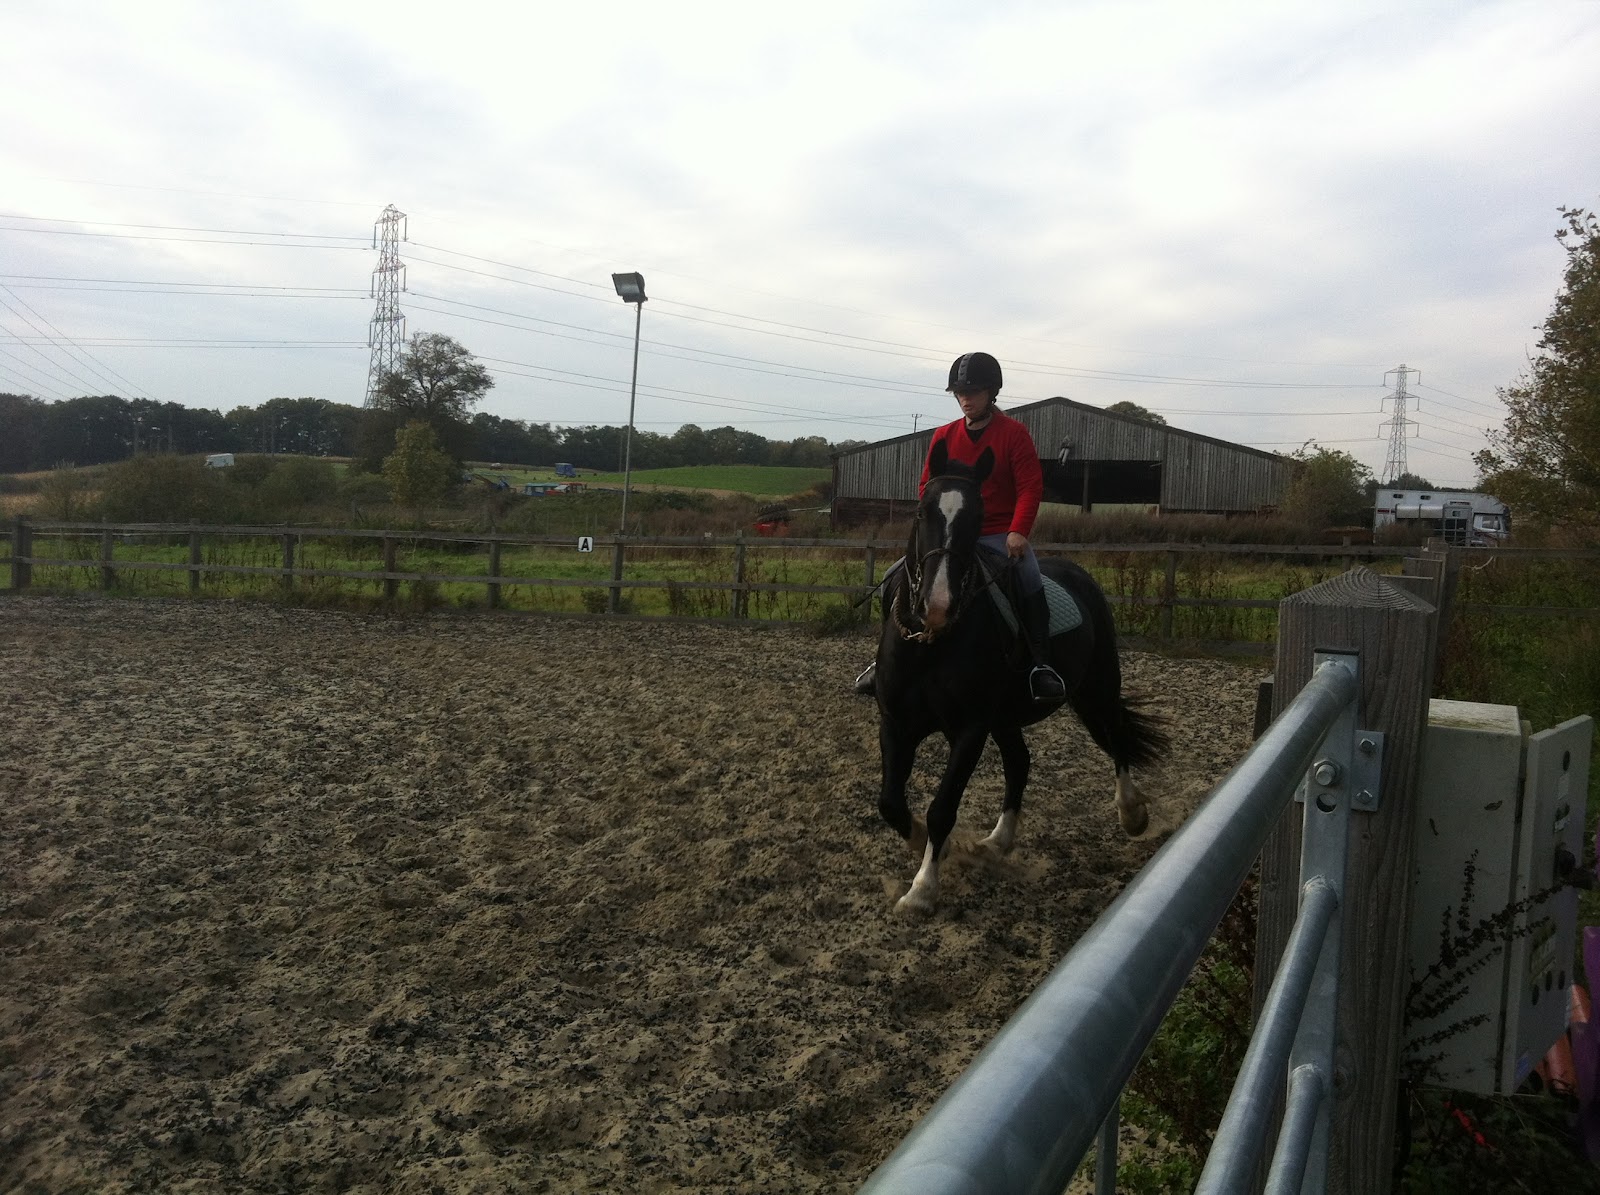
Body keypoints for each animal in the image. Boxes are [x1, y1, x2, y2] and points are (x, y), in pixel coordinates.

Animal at [873, 440, 1169, 915]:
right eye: (921, 511)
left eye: (978, 515)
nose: (937, 605)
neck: (931, 644)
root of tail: (1079, 574)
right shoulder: (897, 723)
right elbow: (890, 803)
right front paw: (926, 844)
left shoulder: (970, 729)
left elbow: (942, 808)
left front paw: (922, 890)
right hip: (1008, 717)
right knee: (1020, 762)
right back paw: (998, 840)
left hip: (1097, 689)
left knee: (1116, 736)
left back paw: (1131, 814)